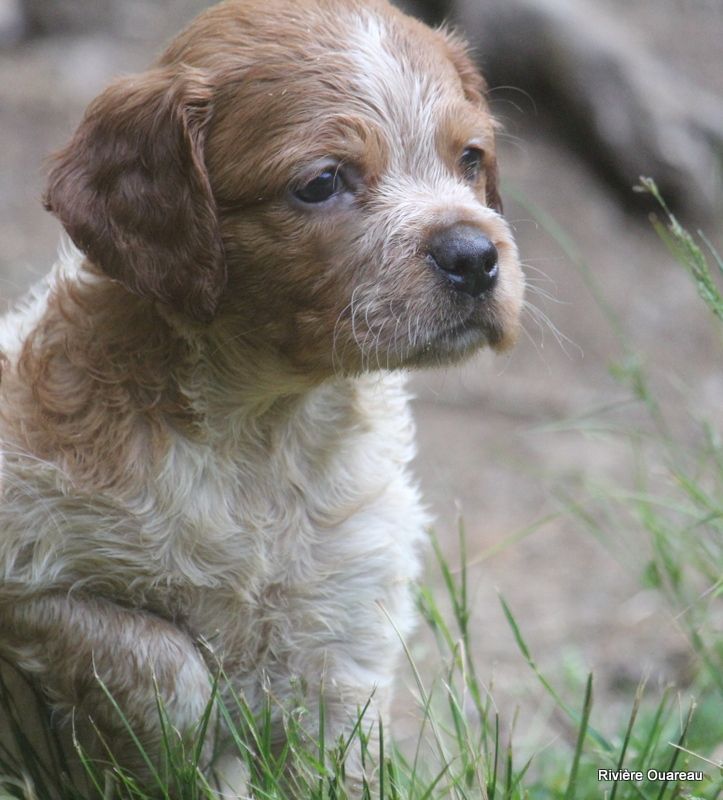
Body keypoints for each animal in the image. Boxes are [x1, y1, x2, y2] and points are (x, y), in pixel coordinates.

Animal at [0, 0, 524, 792]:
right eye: (321, 182)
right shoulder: (28, 585)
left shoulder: (346, 615)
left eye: (469, 158)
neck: (265, 432)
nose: (474, 256)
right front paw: (193, 750)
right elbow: (156, 654)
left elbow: (338, 752)